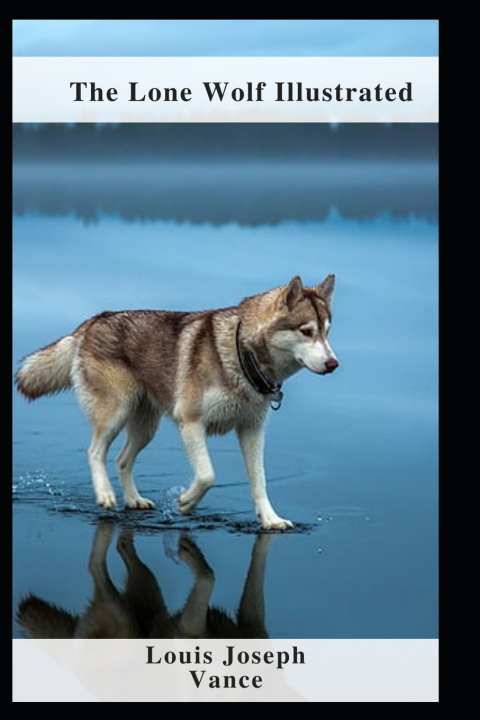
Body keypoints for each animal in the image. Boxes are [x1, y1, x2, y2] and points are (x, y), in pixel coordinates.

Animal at [15, 275, 338, 530]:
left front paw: (271, 520)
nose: (334, 364)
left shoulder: (252, 430)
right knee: (95, 451)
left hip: (146, 427)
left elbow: (259, 481)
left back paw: (133, 500)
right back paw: (105, 495)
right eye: (306, 331)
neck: (241, 355)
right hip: (116, 412)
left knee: (122, 460)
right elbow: (207, 475)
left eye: (326, 332)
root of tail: (94, 320)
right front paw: (185, 502)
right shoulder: (191, 421)